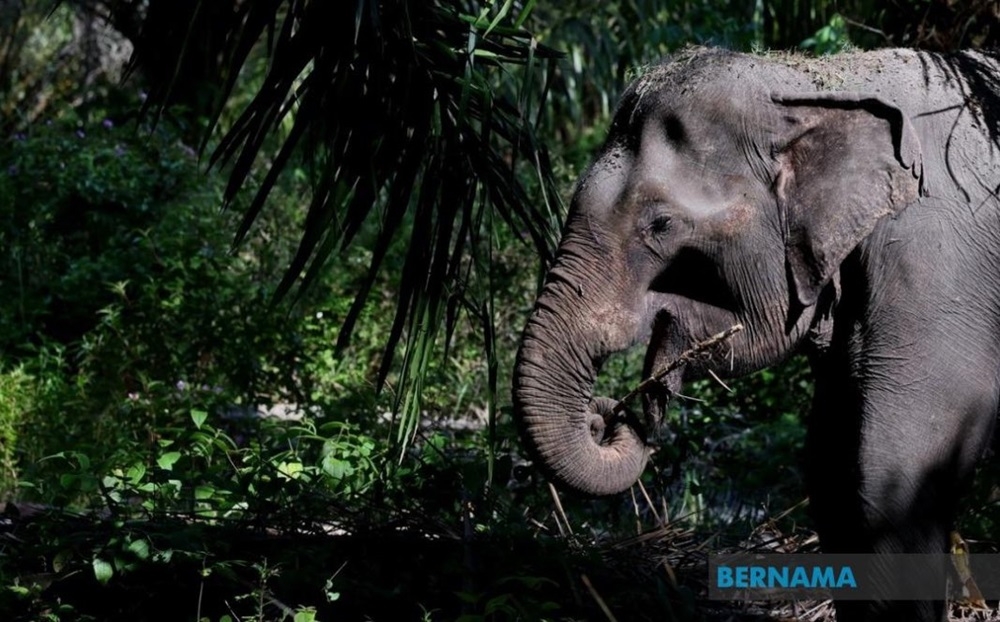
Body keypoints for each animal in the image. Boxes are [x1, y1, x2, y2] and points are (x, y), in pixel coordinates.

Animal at [511, 46, 1000, 621]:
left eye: (660, 225)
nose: (608, 414)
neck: (815, 81)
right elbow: (830, 461)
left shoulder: (939, 269)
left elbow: (895, 466)